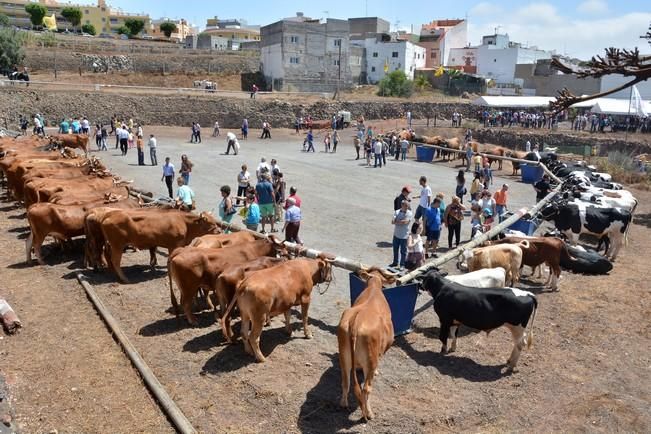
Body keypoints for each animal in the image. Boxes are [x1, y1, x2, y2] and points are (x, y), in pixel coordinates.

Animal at [338, 268, 394, 420]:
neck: (374, 287)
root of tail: (355, 321)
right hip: (370, 360)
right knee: (366, 389)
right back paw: (368, 413)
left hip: (343, 357)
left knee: (346, 382)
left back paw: (343, 403)